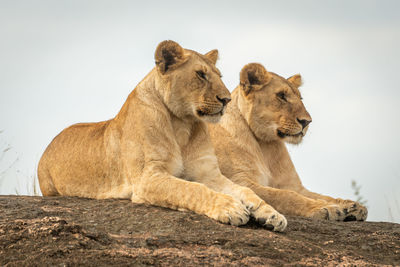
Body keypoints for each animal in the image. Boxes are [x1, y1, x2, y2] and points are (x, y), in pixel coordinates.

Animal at [37, 41, 288, 232]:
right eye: (200, 75)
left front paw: (271, 214)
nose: (226, 100)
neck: (182, 125)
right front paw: (231, 207)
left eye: (219, 75)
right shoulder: (148, 177)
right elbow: (191, 189)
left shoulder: (209, 173)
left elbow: (246, 190)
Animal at [208, 63, 368, 222]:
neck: (266, 145)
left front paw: (353, 206)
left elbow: (322, 196)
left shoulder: (293, 185)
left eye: (300, 97)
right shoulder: (238, 180)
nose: (306, 121)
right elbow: (284, 195)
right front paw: (327, 208)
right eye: (281, 96)